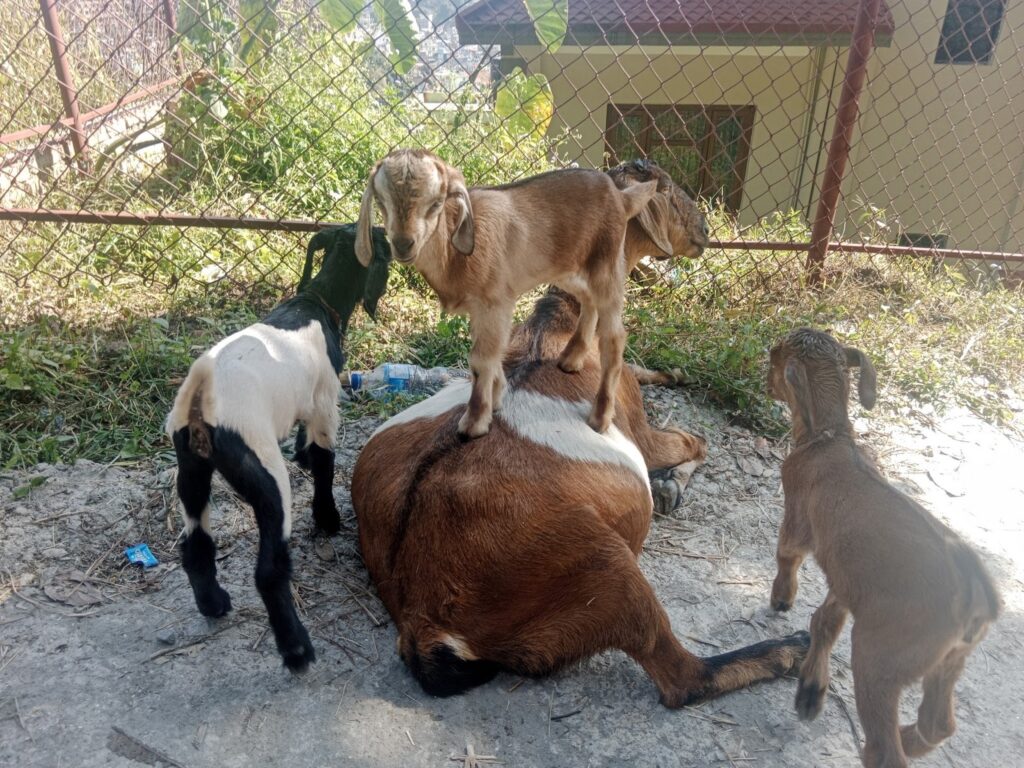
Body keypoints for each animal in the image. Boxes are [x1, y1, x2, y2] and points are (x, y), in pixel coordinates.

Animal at [165, 225, 391, 672]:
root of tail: (201, 394)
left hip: (191, 471)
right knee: (269, 570)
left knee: (195, 543)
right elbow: (324, 461)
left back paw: (213, 603)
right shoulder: (324, 405)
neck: (316, 302)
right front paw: (327, 518)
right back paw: (296, 649)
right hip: (266, 476)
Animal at [351, 188, 809, 704]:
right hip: (606, 565)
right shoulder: (641, 430)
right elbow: (695, 440)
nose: (705, 230)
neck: (559, 321)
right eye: (671, 195)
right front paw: (671, 484)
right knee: (681, 677)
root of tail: (422, 621)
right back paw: (790, 650)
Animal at [353, 149, 659, 438]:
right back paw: (571, 359)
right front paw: (498, 396)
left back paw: (600, 416)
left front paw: (475, 422)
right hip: (568, 269)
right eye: (380, 201)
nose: (403, 244)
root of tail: (621, 198)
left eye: (436, 203)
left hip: (608, 265)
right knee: (587, 300)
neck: (454, 254)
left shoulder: (494, 302)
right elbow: (492, 353)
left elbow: (481, 359)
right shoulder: (486, 310)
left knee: (614, 337)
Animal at [767, 328, 1001, 768]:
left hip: (881, 656)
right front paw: (811, 691)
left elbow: (787, 557)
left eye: (777, 353)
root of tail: (976, 599)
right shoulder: (848, 578)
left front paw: (782, 600)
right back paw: (911, 737)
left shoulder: (798, 515)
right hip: (948, 660)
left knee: (886, 748)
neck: (830, 437)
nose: (766, 374)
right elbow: (826, 620)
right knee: (939, 724)